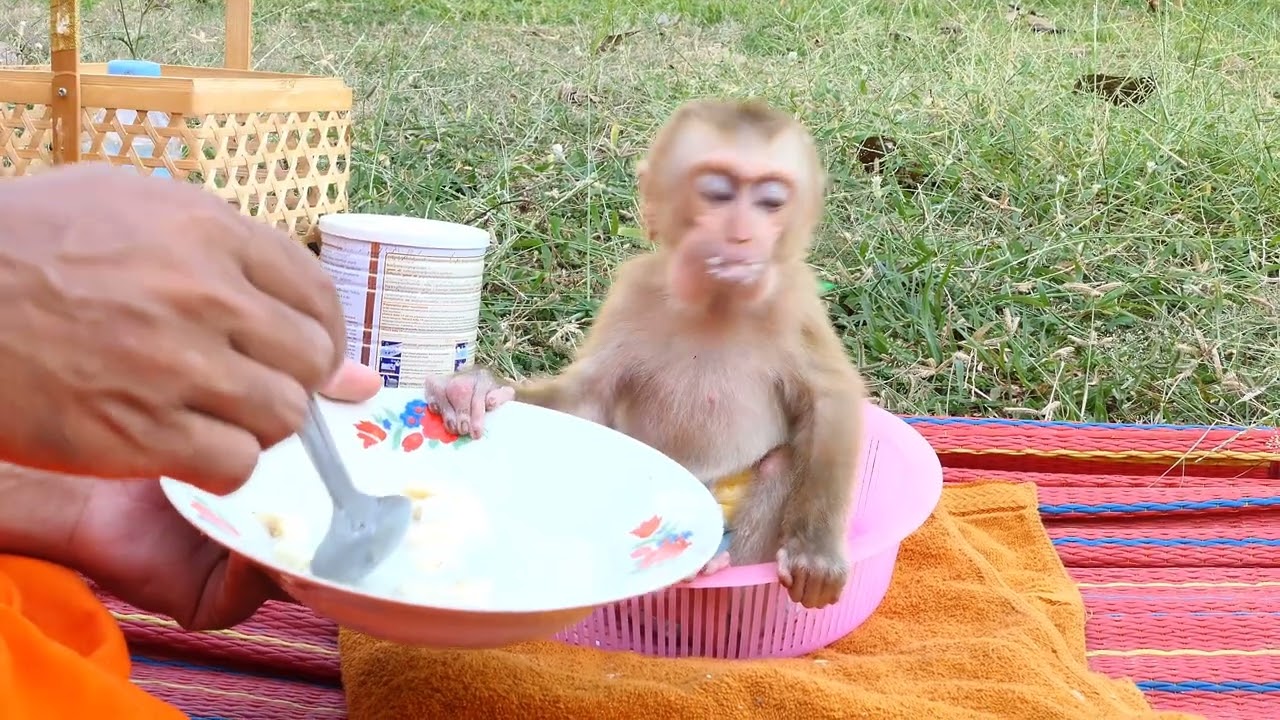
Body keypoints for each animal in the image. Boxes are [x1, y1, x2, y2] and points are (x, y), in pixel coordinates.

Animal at [423, 98, 866, 612]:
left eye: (771, 202)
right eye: (717, 194)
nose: (740, 237)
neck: (716, 304)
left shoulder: (794, 298)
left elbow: (828, 399)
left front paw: (815, 551)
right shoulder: (633, 291)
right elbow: (586, 401)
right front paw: (473, 389)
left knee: (781, 463)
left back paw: (717, 566)